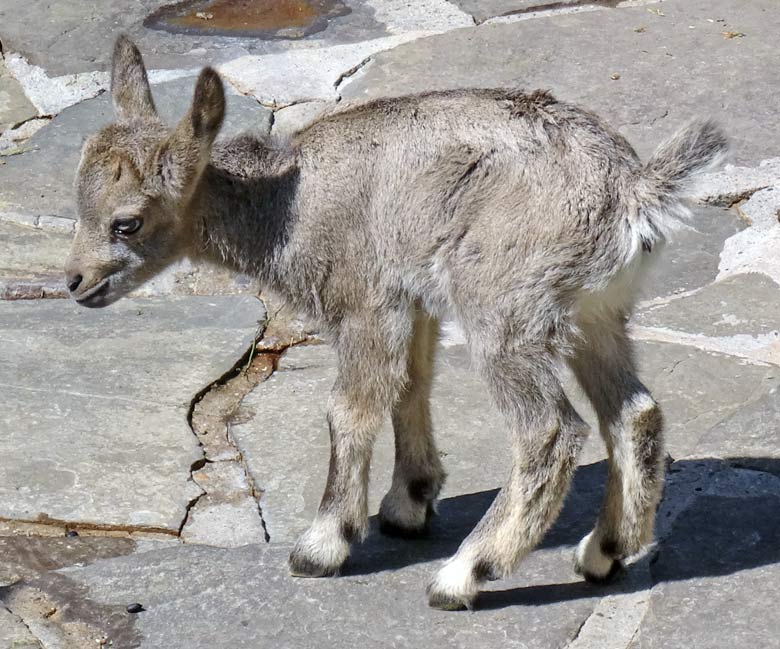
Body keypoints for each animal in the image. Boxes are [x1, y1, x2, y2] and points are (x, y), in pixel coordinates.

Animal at [64, 38, 728, 612]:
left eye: (126, 222)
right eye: (77, 203)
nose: (74, 282)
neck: (288, 208)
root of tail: (633, 195)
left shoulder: (363, 302)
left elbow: (350, 408)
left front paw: (323, 544)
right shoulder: (413, 302)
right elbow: (411, 386)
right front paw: (409, 502)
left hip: (502, 309)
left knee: (549, 431)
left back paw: (464, 575)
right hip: (595, 314)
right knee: (635, 414)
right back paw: (603, 553)